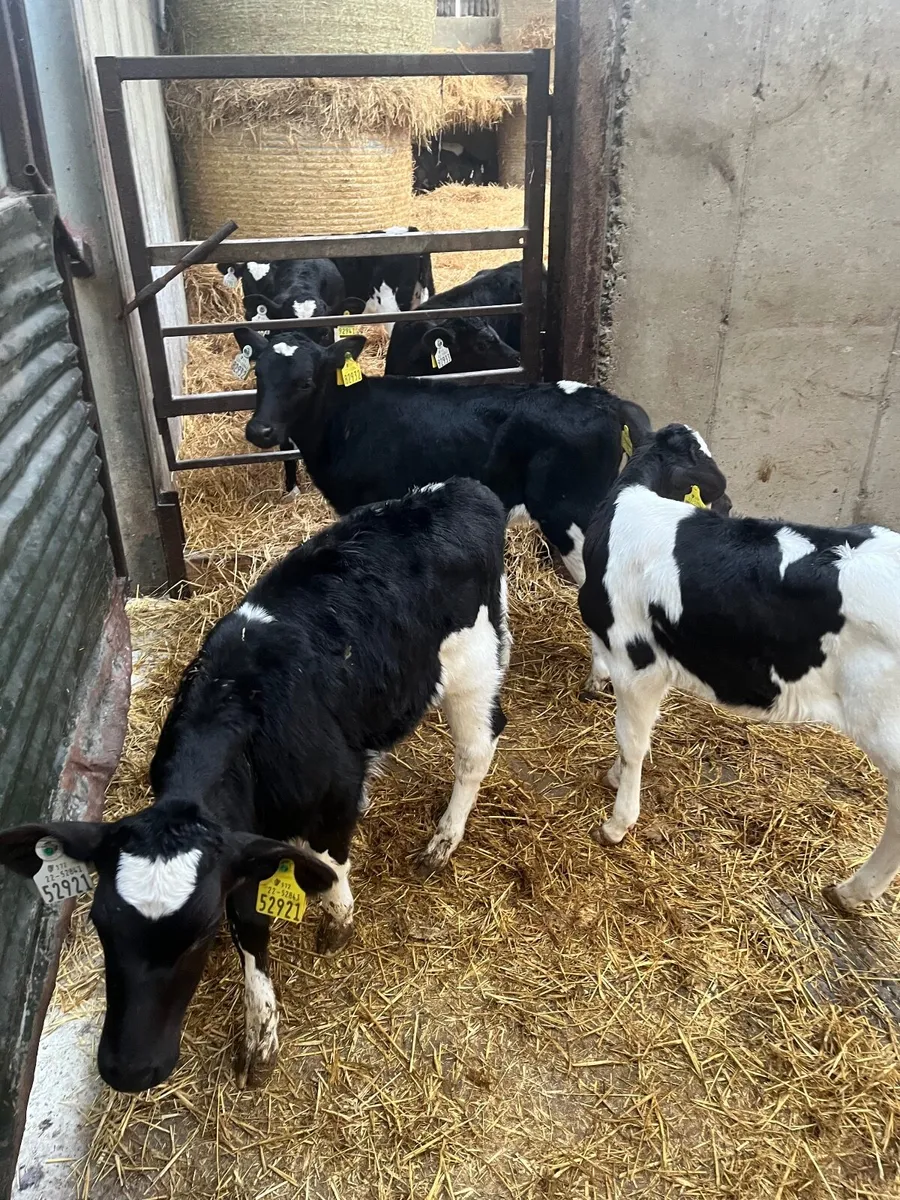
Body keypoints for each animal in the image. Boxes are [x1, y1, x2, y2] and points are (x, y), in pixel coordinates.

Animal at [0, 478, 510, 1092]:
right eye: (101, 924)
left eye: (200, 932)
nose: (129, 1069)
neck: (238, 707)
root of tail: (461, 489)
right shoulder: (239, 840)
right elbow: (252, 920)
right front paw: (260, 1032)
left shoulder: (336, 788)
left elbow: (328, 862)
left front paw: (337, 921)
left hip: (473, 665)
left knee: (478, 748)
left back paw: (442, 841)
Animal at [577, 422, 900, 914]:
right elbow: (637, 735)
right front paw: (614, 777)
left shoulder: (636, 661)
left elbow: (631, 742)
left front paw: (617, 822)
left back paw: (855, 889)